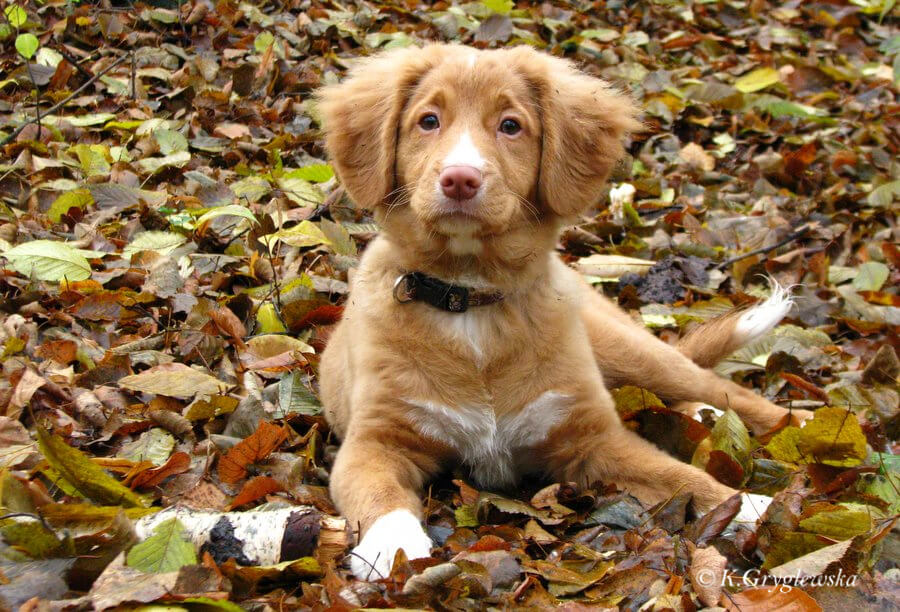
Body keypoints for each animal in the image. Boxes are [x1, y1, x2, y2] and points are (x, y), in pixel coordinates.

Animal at [312, 44, 812, 580]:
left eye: (510, 126)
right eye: (428, 120)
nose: (460, 179)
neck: (472, 302)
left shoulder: (594, 439)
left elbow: (678, 474)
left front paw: (754, 507)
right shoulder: (374, 441)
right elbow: (377, 491)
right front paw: (396, 547)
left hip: (631, 351)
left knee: (718, 386)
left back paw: (791, 420)